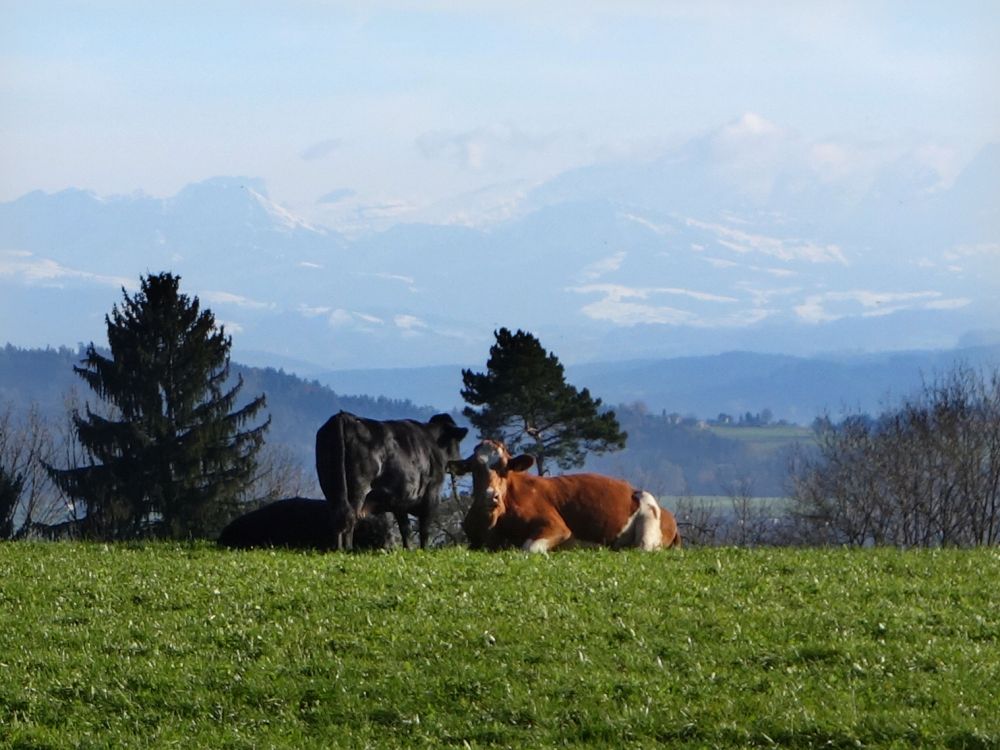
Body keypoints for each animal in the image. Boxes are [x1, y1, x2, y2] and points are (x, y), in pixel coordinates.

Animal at [450, 440, 684, 552]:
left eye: (505, 467)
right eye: (474, 468)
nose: (491, 496)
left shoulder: (555, 526)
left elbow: (528, 548)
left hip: (648, 520)